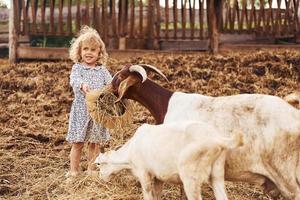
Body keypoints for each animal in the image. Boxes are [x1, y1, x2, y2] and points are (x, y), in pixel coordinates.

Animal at [96, 120, 244, 200]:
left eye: (99, 165)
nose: (101, 177)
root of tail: (217, 139)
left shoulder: (144, 174)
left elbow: (148, 194)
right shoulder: (158, 177)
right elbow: (157, 194)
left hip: (191, 178)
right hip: (217, 173)